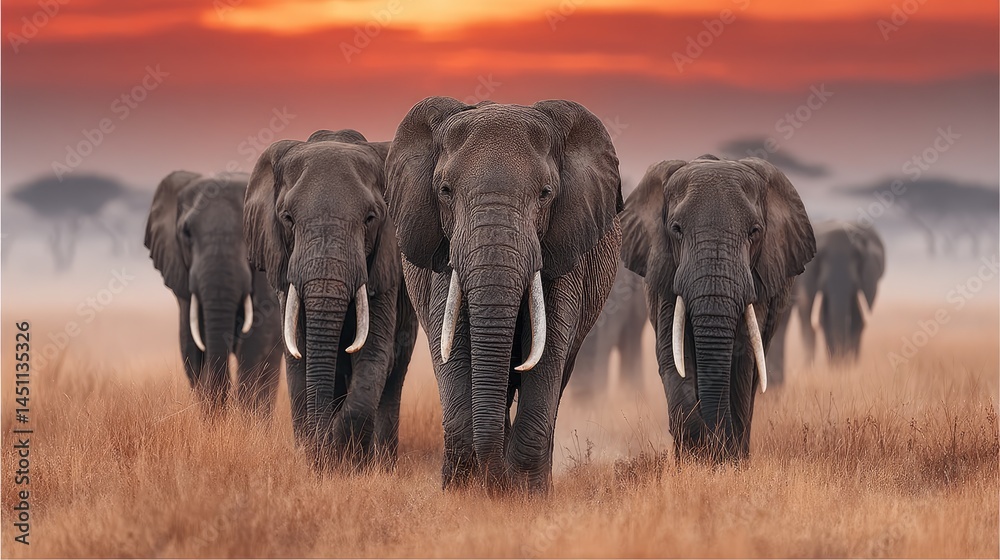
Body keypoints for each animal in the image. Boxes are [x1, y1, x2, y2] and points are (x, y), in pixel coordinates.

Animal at [244, 129, 417, 468]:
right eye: (287, 218)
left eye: (370, 218)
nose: (319, 449)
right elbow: (298, 353)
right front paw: (315, 456)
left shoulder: (385, 267)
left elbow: (374, 353)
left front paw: (341, 457)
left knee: (395, 372)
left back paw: (381, 463)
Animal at [385, 97, 623, 493]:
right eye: (445, 191)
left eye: (545, 194)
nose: (497, 481)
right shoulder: (444, 253)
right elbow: (450, 342)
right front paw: (467, 494)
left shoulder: (563, 245)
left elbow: (548, 347)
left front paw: (523, 494)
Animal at [621, 155, 815, 462]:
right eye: (676, 229)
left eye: (755, 231)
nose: (713, 440)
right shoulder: (664, 272)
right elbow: (673, 352)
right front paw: (696, 455)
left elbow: (744, 357)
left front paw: (726, 460)